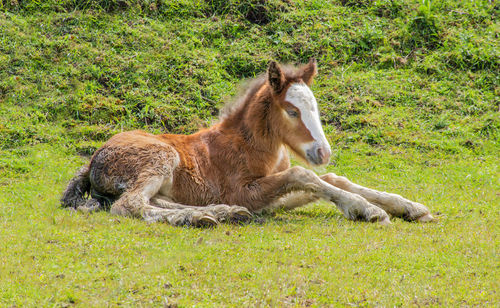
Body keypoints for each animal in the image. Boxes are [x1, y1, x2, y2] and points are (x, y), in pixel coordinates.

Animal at [60, 59, 432, 226]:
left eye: (315, 107)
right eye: (292, 111)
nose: (323, 152)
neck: (249, 146)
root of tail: (91, 161)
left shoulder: (267, 199)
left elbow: (329, 180)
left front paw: (408, 206)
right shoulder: (246, 191)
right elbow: (304, 176)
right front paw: (367, 209)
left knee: (155, 202)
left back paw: (219, 213)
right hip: (159, 158)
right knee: (130, 205)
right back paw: (205, 217)